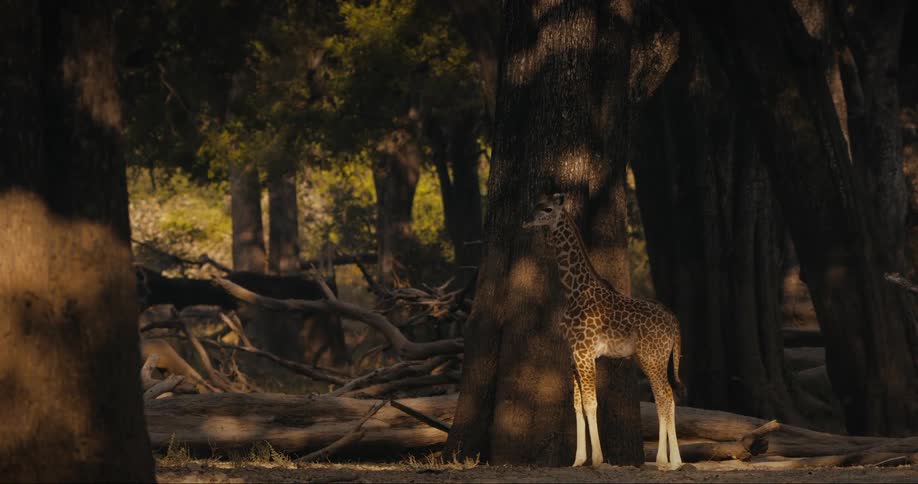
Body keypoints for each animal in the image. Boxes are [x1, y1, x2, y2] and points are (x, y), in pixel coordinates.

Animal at [522, 193, 684, 470]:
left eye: (547, 209)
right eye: (534, 204)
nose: (525, 221)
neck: (574, 291)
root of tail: (674, 323)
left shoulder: (585, 352)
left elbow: (591, 402)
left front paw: (597, 459)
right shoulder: (573, 355)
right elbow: (577, 405)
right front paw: (578, 460)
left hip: (654, 358)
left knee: (666, 396)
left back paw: (672, 461)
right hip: (649, 358)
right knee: (664, 397)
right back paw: (665, 460)